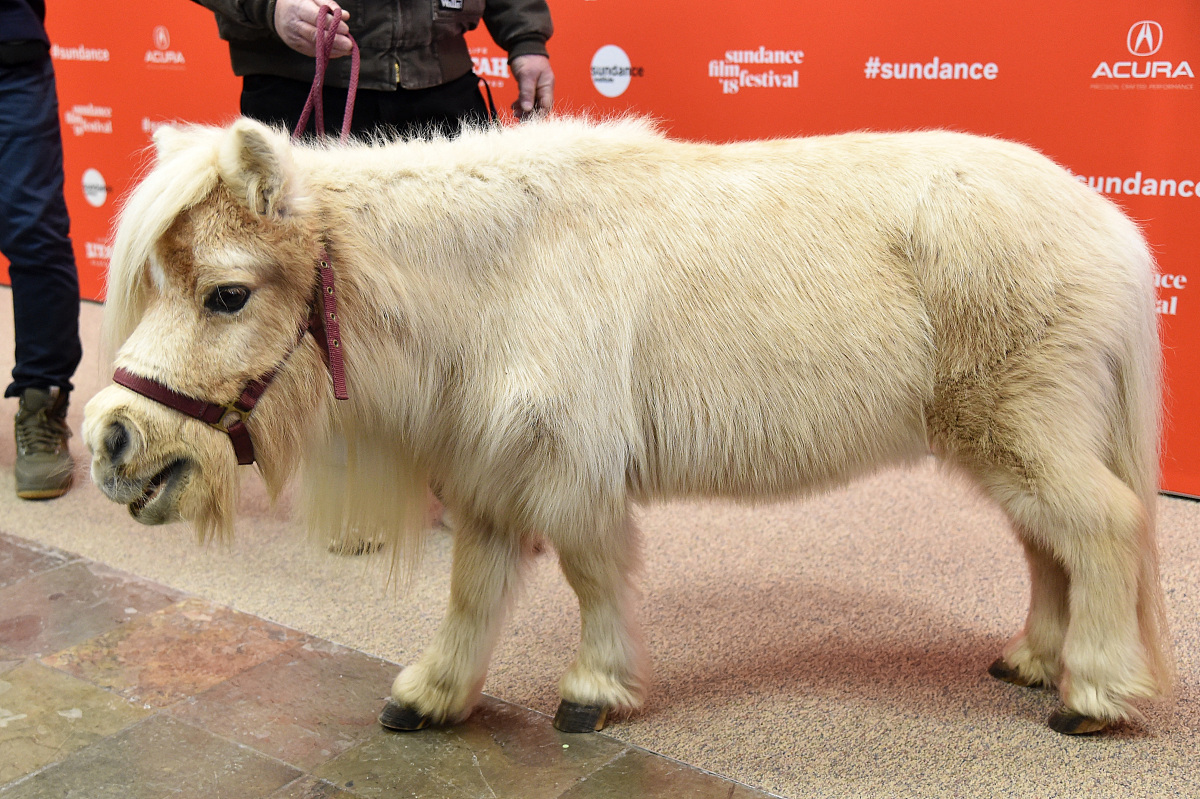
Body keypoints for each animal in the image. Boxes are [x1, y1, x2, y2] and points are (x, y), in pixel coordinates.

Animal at [83, 115, 1173, 736]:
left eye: (227, 293)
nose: (113, 441)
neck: (496, 271)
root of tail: (1110, 227)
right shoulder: (488, 473)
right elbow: (474, 589)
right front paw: (433, 696)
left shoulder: (567, 467)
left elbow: (589, 571)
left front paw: (594, 692)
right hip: (1007, 439)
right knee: (1046, 546)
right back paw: (1033, 659)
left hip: (1025, 429)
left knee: (1102, 528)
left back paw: (1090, 694)